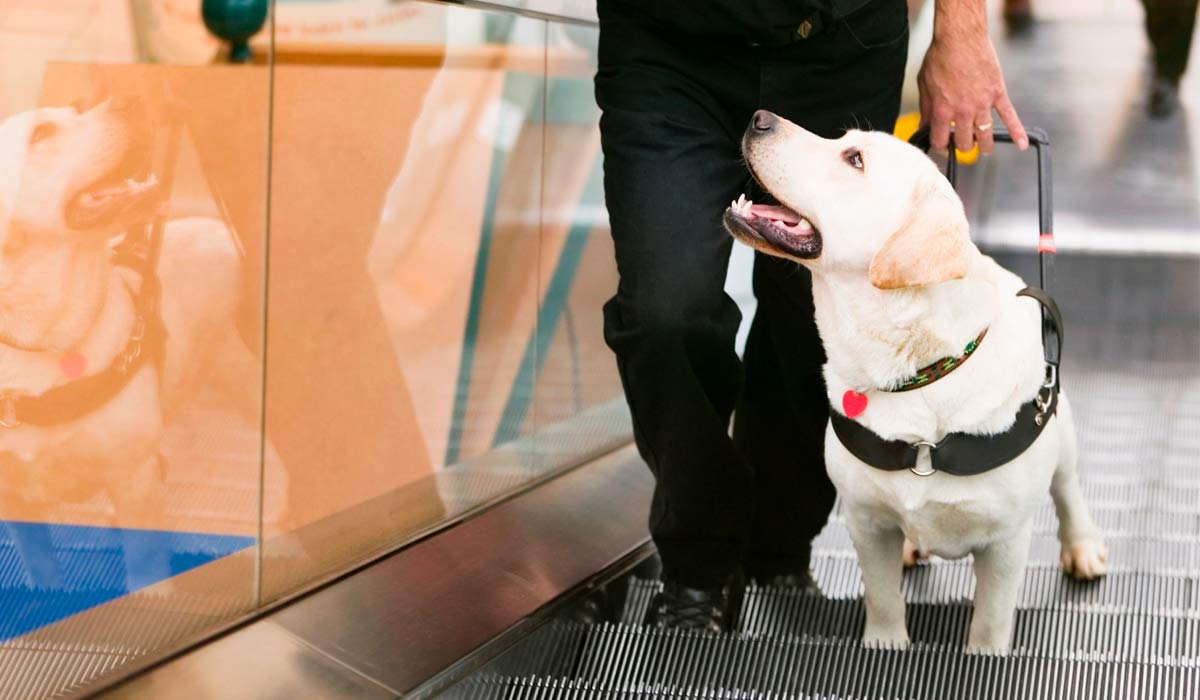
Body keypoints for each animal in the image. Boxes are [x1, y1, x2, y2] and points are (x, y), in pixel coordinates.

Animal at [720, 109, 1104, 653]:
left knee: (1068, 490)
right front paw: (886, 645)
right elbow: (883, 599)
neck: (920, 373)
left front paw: (985, 656)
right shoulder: (866, 521)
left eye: (854, 159)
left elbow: (990, 621)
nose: (759, 117)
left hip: (1062, 431)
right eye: (845, 141)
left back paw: (1083, 546)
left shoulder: (1006, 543)